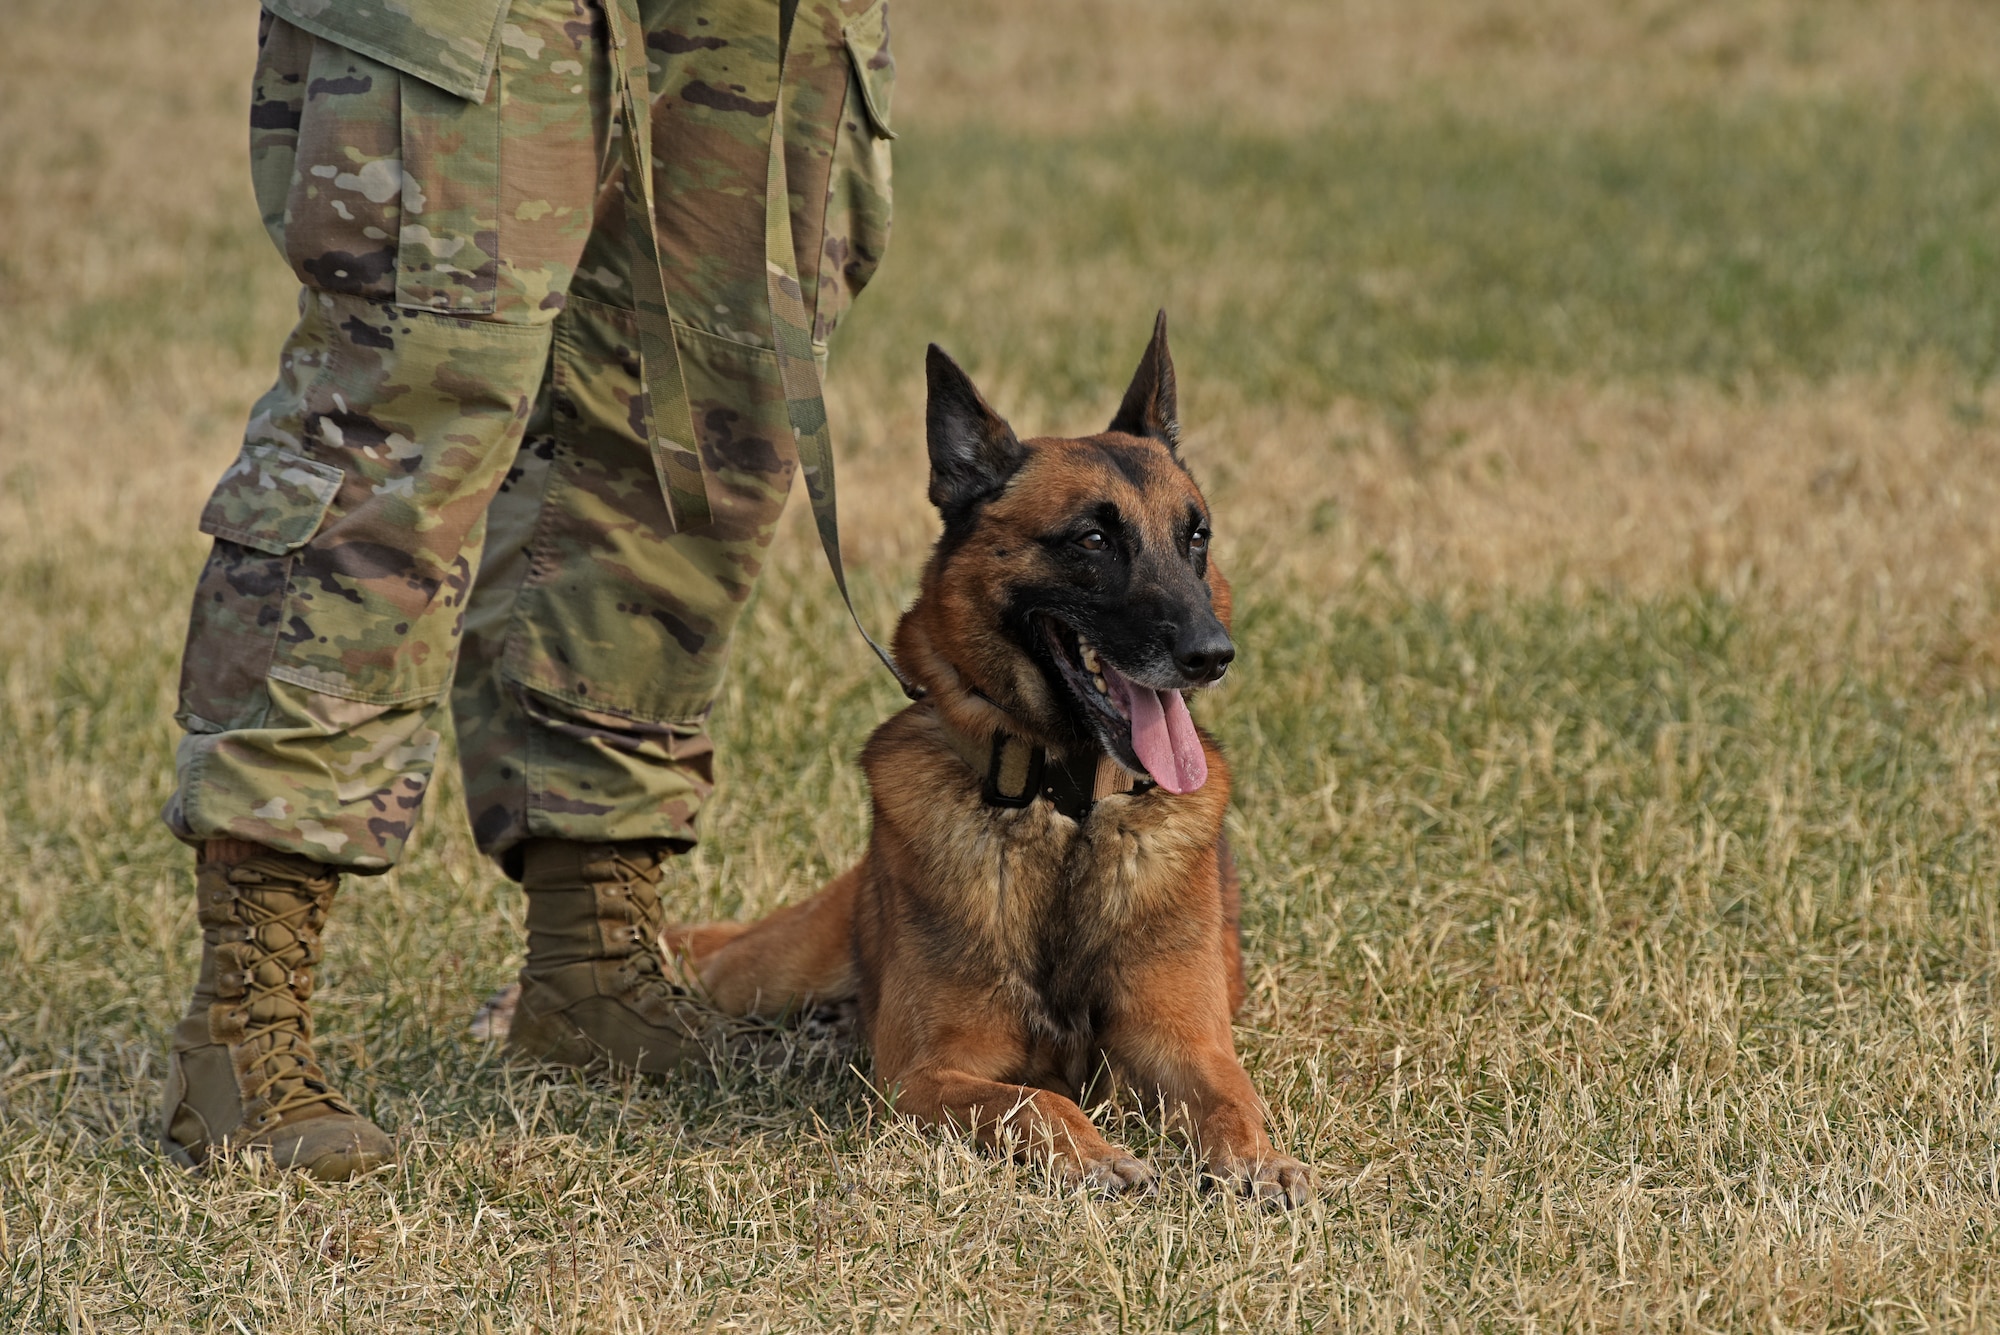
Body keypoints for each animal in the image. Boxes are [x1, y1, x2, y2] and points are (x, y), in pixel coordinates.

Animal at [660, 317, 1312, 1207]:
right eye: (1093, 538)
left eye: (1196, 537)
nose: (1212, 655)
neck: (1067, 805)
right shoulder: (926, 1074)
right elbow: (1036, 1100)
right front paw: (1094, 1153)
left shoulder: (1189, 1044)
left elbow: (1232, 1095)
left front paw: (1258, 1158)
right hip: (762, 974)